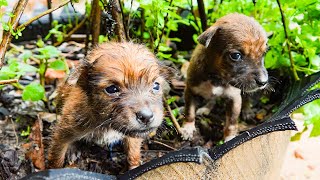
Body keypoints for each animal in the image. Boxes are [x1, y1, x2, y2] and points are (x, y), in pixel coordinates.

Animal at [47, 41, 170, 169]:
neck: (106, 123)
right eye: (112, 89)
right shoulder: (62, 133)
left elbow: (133, 153)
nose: (146, 117)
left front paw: (134, 167)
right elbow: (56, 158)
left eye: (156, 85)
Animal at [181, 13, 268, 141]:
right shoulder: (190, 90)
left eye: (264, 54)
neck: (216, 77)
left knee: (246, 98)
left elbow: (231, 122)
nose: (263, 82)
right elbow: (189, 111)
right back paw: (206, 108)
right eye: (235, 56)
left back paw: (247, 111)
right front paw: (187, 128)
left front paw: (230, 138)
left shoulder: (234, 98)